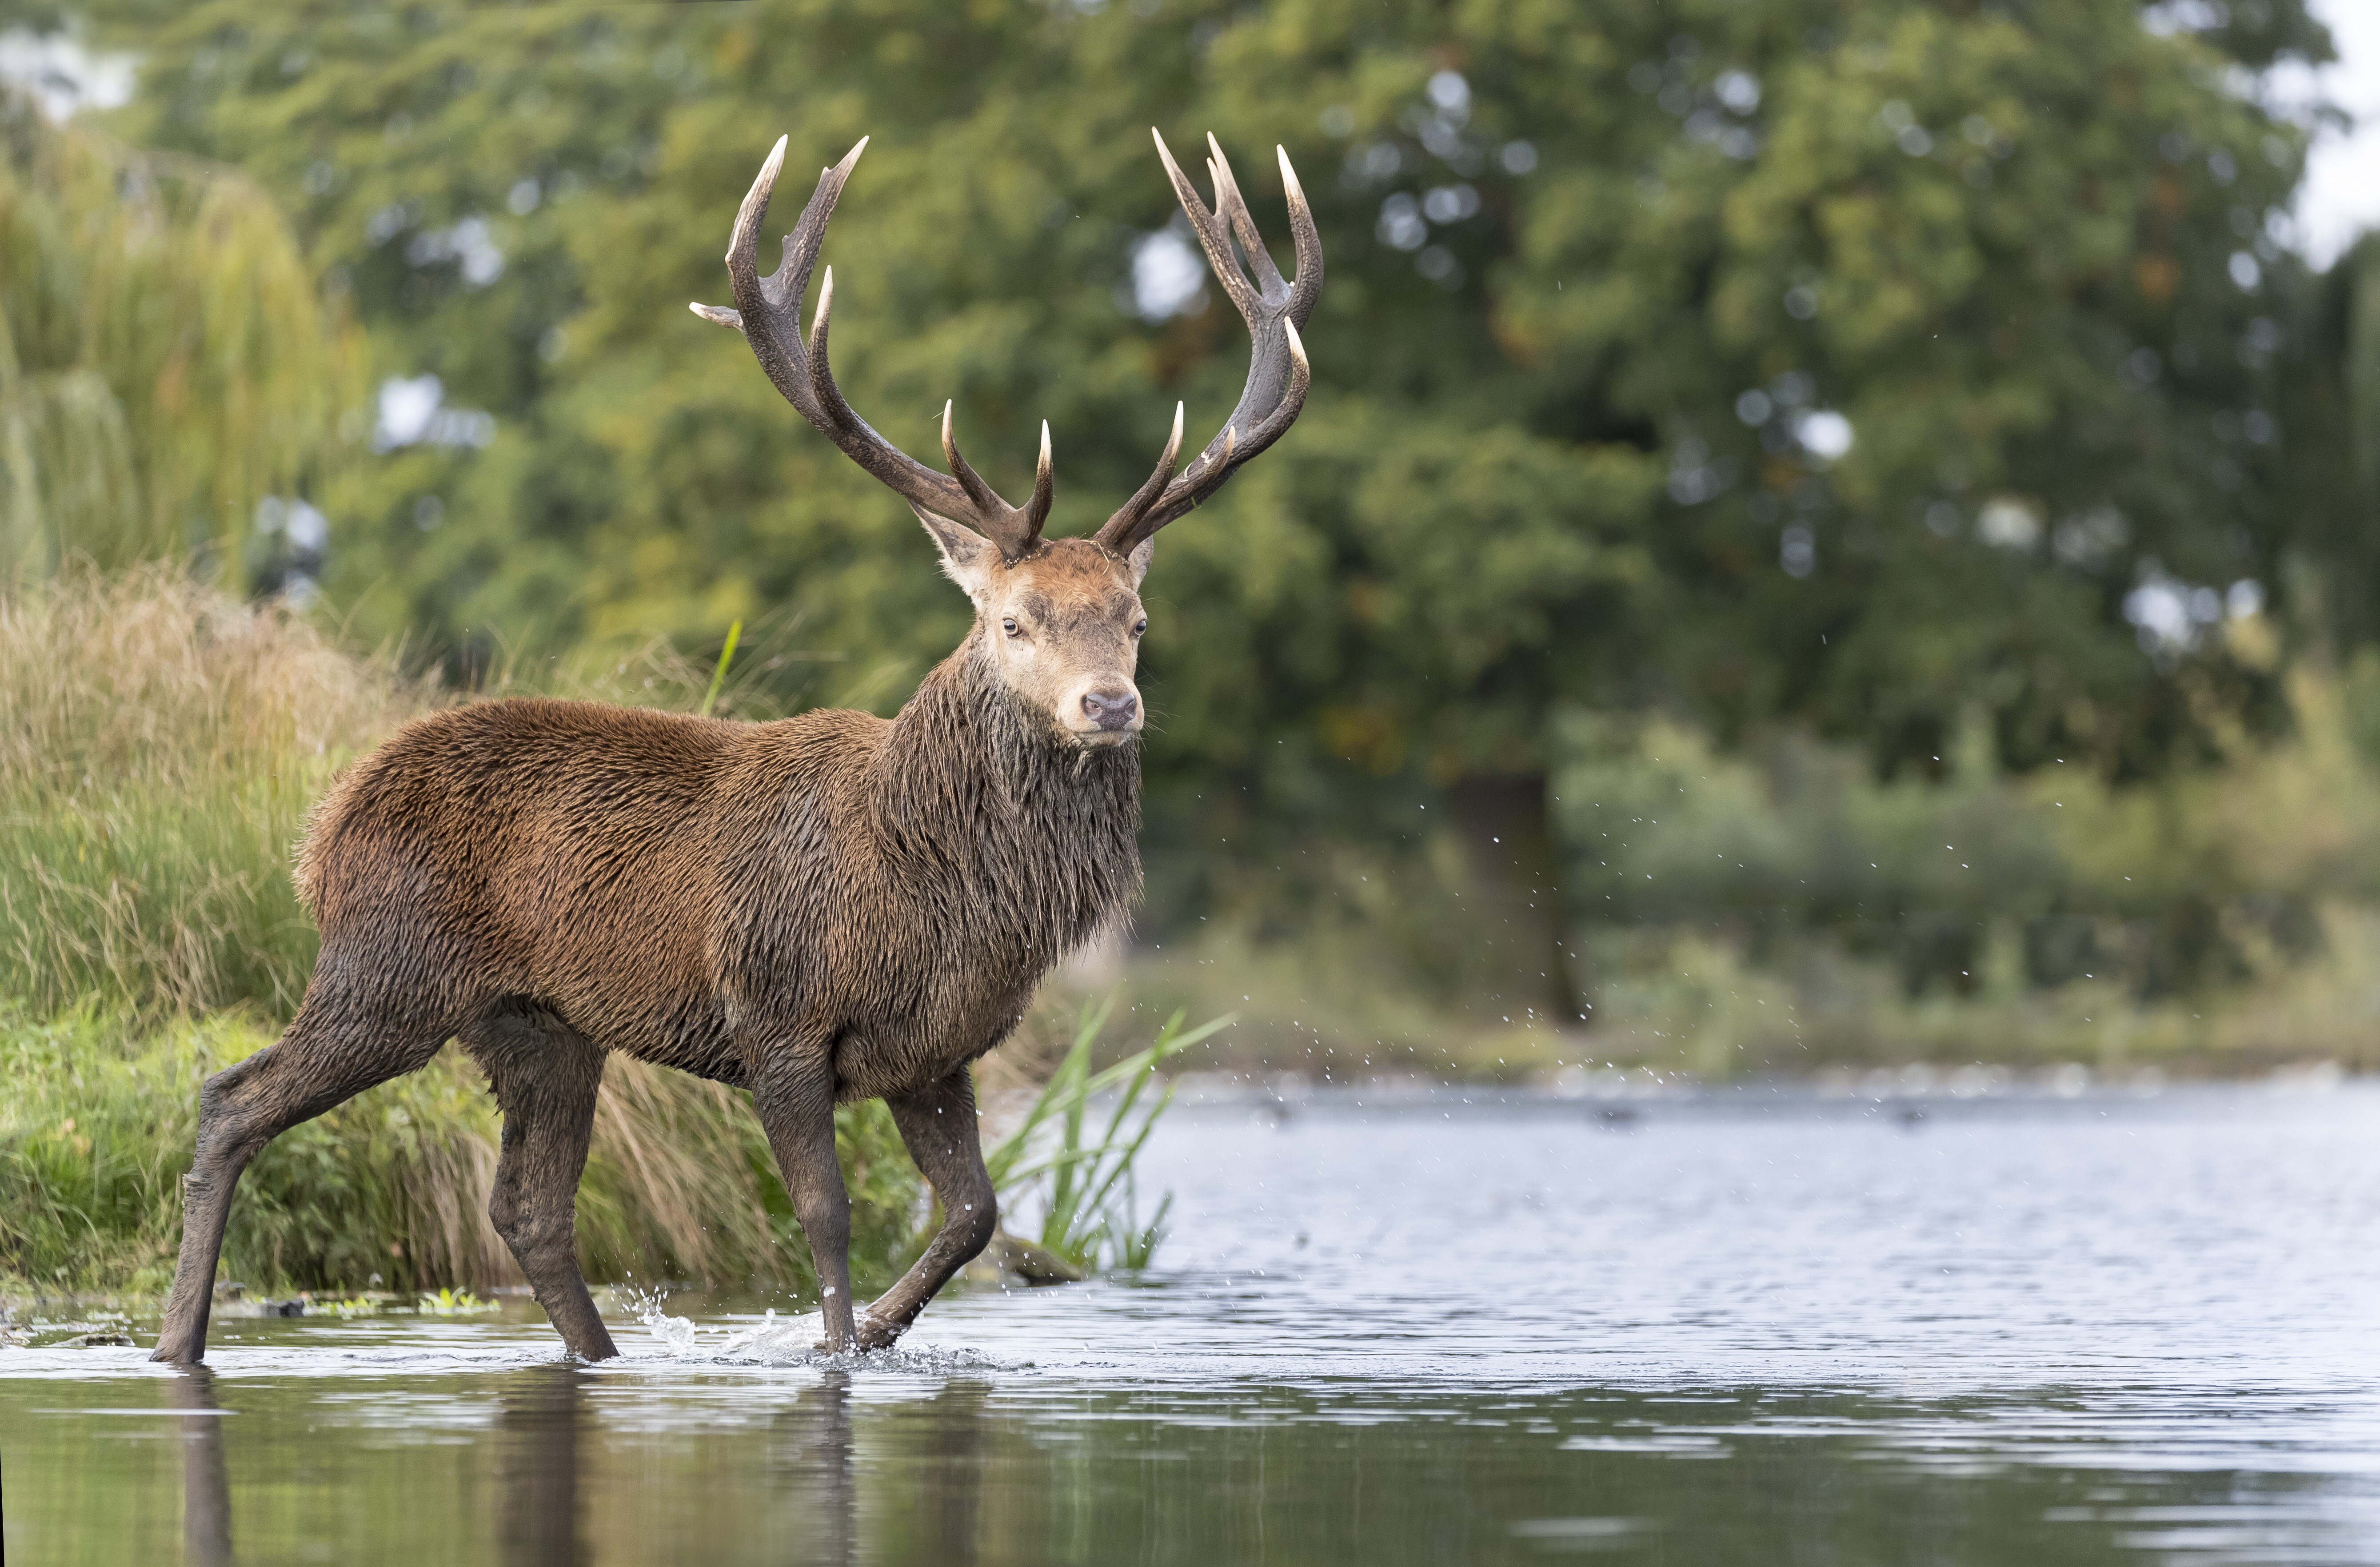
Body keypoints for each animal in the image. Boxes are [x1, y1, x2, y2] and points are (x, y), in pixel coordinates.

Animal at [149, 128, 1319, 1364]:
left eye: (1135, 621)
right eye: (1014, 620)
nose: (1109, 704)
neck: (938, 891)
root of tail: (324, 828)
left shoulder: (936, 1047)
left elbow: (973, 1214)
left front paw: (875, 1333)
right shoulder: (780, 1010)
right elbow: (826, 1209)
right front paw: (831, 1349)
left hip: (536, 1023)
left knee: (527, 1201)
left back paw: (597, 1354)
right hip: (388, 968)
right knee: (232, 1097)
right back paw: (177, 1340)